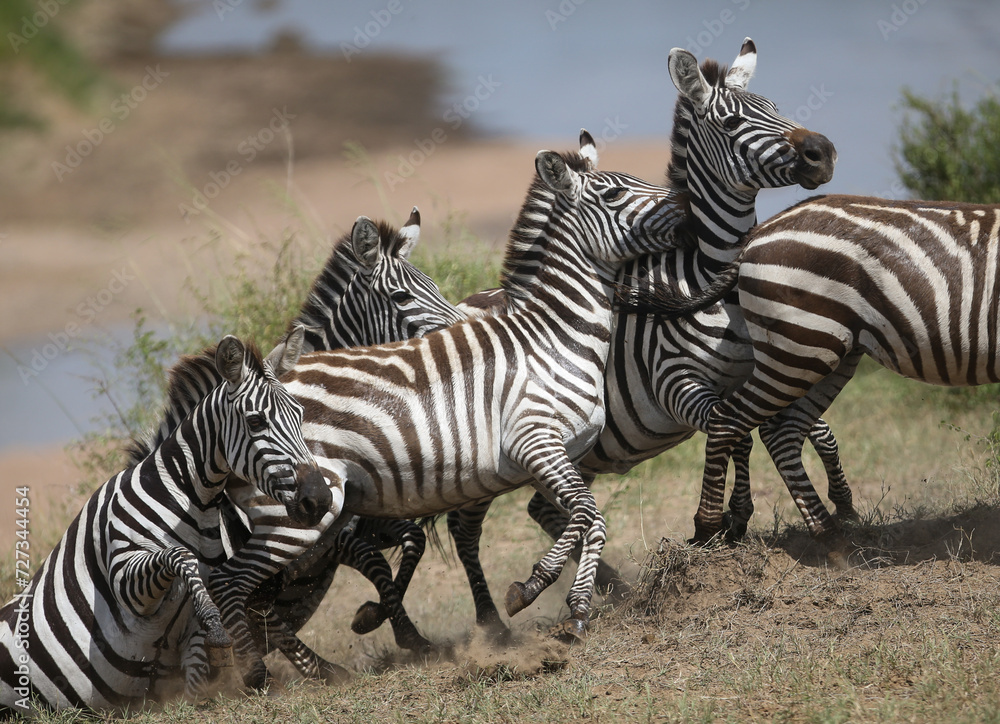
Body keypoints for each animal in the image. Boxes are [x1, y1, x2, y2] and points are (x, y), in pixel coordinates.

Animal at [0, 330, 328, 713]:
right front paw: (218, 626)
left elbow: (196, 672)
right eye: (256, 422)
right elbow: (179, 555)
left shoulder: (191, 634)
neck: (193, 502)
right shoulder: (124, 576)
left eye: (300, 415)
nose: (319, 499)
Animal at [276, 132, 686, 642]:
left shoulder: (561, 454)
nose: (686, 204)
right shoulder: (535, 442)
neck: (556, 336)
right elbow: (585, 515)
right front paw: (544, 594)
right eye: (613, 194)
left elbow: (583, 517)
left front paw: (563, 601)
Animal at [627, 193, 1000, 543]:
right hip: (800, 345)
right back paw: (708, 529)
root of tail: (761, 231)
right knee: (729, 421)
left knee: (782, 431)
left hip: (826, 351)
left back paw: (831, 535)